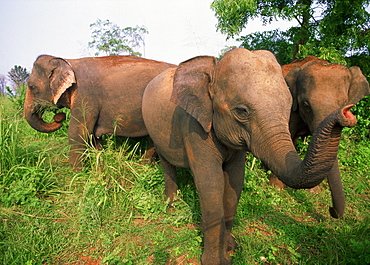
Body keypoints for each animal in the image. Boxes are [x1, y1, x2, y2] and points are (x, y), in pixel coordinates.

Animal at [24, 54, 176, 168]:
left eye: (31, 86)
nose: (59, 117)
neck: (68, 61)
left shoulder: (85, 94)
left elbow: (78, 132)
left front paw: (76, 177)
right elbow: (92, 136)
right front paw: (100, 167)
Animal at [141, 48, 356, 262]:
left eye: (290, 107)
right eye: (241, 111)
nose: (347, 112)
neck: (215, 69)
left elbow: (234, 183)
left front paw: (229, 249)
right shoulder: (193, 126)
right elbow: (211, 185)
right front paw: (214, 261)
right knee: (166, 162)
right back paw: (172, 204)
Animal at [268, 55, 370, 217]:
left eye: (344, 103)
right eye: (306, 104)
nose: (331, 209)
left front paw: (313, 192)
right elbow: (288, 135)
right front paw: (276, 187)